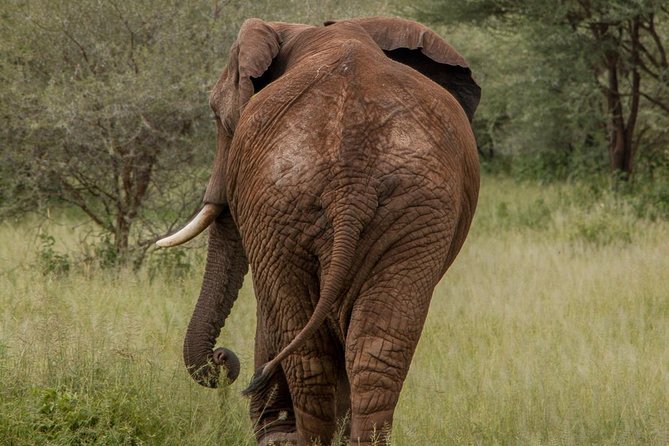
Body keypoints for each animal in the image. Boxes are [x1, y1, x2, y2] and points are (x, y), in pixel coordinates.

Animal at [157, 16, 480, 446]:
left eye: (217, 117)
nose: (223, 358)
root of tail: (351, 181)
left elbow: (271, 312)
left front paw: (273, 432)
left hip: (285, 201)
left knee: (306, 345)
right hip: (414, 210)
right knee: (377, 346)